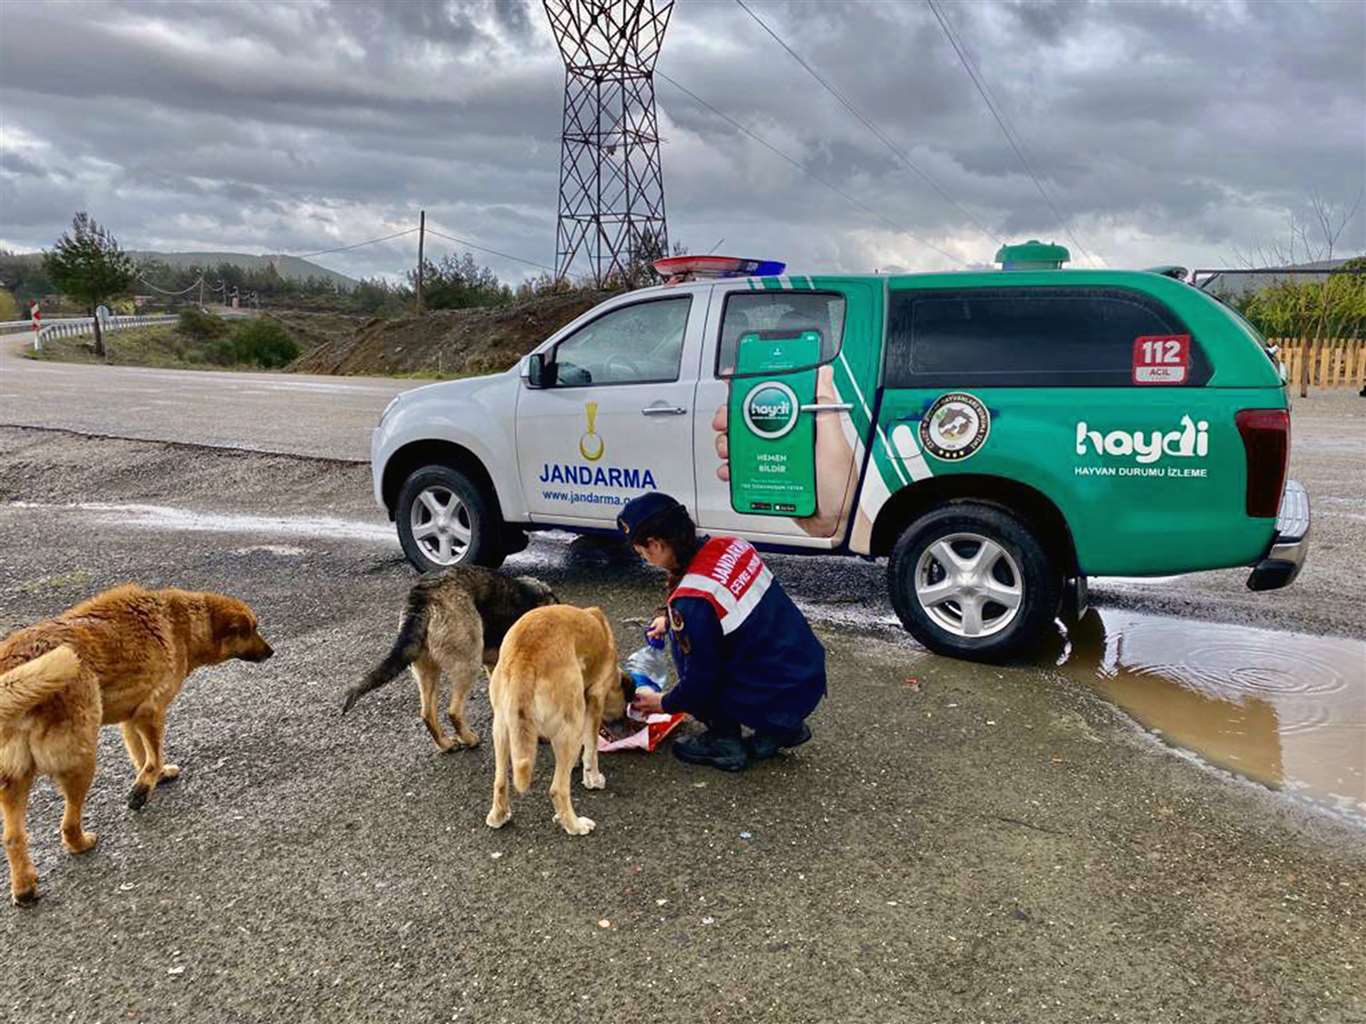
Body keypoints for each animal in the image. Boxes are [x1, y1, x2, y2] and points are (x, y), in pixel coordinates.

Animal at [0, 584, 271, 906]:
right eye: (252, 629)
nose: (271, 651)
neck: (182, 623)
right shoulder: (150, 711)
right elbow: (153, 756)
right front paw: (141, 790)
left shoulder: (130, 720)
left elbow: (142, 755)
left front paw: (157, 776)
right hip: (81, 757)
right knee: (68, 824)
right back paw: (81, 843)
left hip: (16, 780)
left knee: (13, 838)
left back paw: (24, 888)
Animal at [486, 606, 633, 835]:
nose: (628, 728)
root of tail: (525, 656)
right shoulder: (595, 698)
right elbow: (591, 749)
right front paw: (592, 778)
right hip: (571, 725)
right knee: (558, 788)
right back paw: (574, 825)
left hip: (502, 728)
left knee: (500, 781)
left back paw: (498, 816)